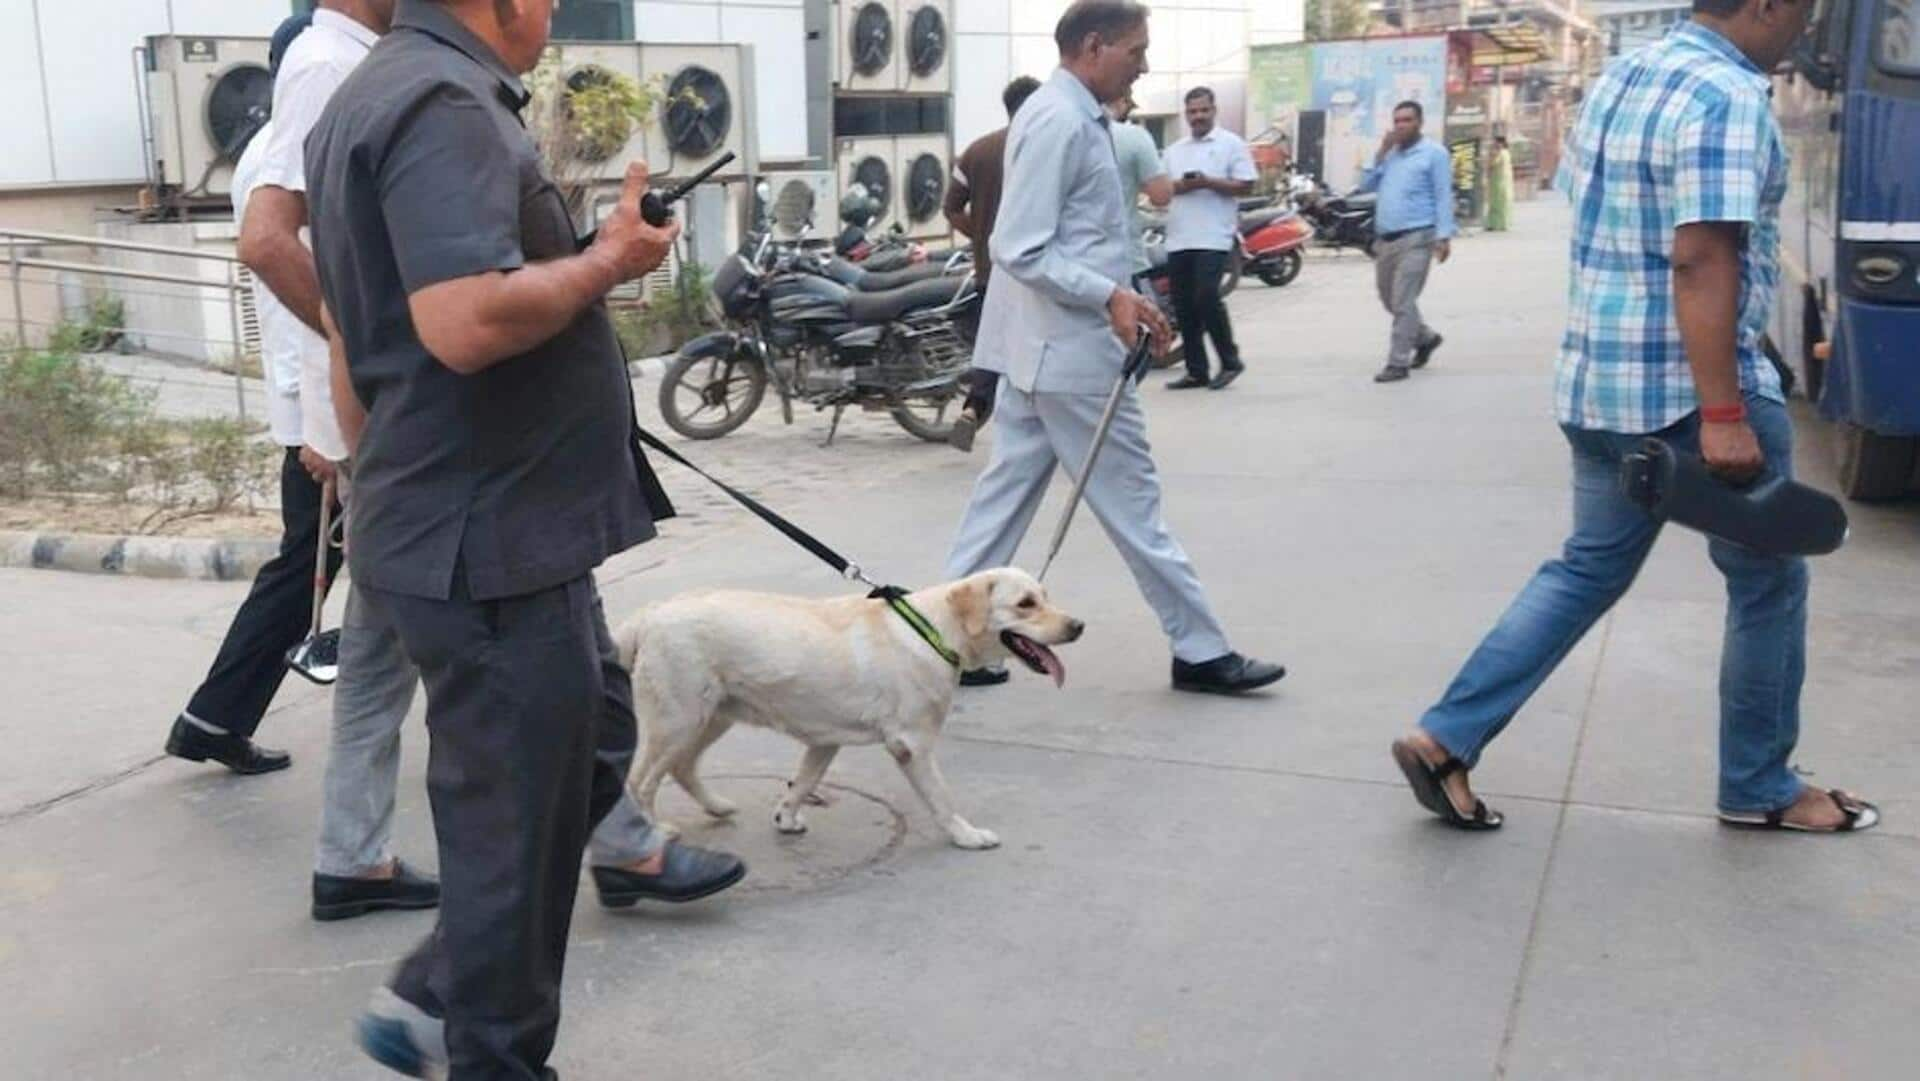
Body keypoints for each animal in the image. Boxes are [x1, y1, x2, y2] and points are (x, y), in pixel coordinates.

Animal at [614, 572, 1082, 848]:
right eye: (1025, 603)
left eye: (1045, 596)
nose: (1078, 626)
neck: (932, 632)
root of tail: (649, 616)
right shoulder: (913, 744)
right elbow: (941, 797)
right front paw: (966, 835)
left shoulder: (825, 741)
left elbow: (803, 781)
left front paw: (786, 818)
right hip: (678, 719)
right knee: (641, 781)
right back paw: (654, 831)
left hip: (713, 716)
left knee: (682, 768)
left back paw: (717, 807)